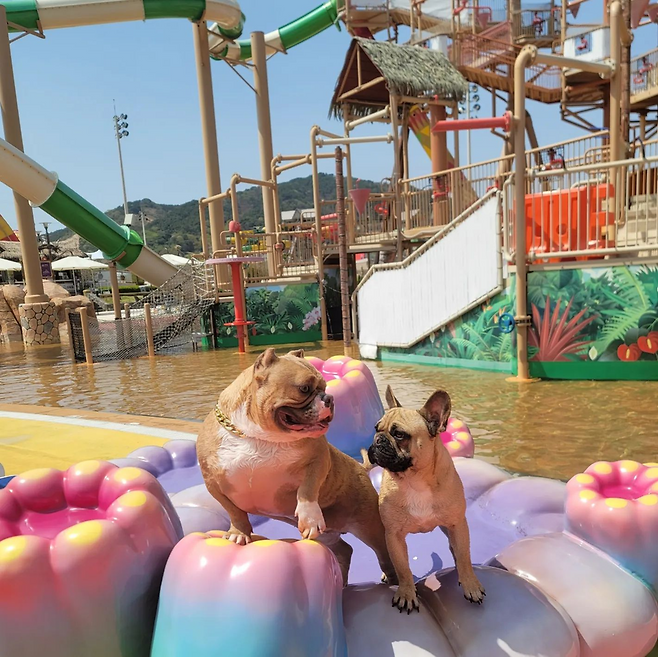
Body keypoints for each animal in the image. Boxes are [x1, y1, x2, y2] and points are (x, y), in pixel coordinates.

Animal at [196, 347, 398, 586]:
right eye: (304, 389)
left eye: (325, 387)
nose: (329, 398)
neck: (260, 436)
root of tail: (362, 468)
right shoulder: (213, 482)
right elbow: (234, 511)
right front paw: (239, 533)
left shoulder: (318, 460)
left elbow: (307, 490)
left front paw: (309, 516)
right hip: (327, 534)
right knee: (343, 549)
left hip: (369, 525)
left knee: (385, 553)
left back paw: (393, 579)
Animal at [365, 386, 485, 613]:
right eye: (376, 429)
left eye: (399, 434)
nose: (377, 441)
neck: (415, 479)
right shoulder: (393, 535)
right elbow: (402, 567)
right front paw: (406, 593)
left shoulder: (457, 524)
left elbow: (464, 556)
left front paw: (470, 584)